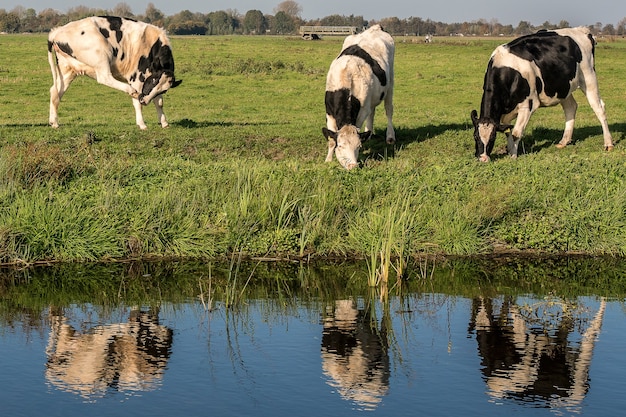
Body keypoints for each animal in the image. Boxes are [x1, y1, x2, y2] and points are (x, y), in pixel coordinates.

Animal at [48, 15, 180, 130]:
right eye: (153, 80)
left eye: (164, 90)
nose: (144, 101)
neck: (152, 45)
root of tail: (56, 31)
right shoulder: (136, 77)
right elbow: (138, 103)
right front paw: (142, 124)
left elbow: (159, 102)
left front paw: (164, 123)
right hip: (102, 54)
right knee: (104, 78)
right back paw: (131, 91)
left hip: (68, 69)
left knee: (55, 91)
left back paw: (54, 122)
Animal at [322, 24, 394, 169]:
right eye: (341, 146)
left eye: (358, 147)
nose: (352, 166)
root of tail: (375, 28)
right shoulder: (329, 112)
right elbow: (331, 139)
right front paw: (328, 160)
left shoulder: (361, 112)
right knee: (372, 112)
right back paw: (369, 134)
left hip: (390, 84)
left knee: (389, 110)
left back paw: (390, 137)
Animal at [470, 26, 612, 162]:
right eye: (475, 136)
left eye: (493, 137)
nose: (483, 158)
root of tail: (582, 30)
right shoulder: (506, 111)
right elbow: (508, 131)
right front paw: (510, 150)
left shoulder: (528, 105)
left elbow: (516, 132)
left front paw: (513, 156)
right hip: (562, 87)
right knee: (571, 107)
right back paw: (564, 141)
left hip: (589, 78)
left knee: (599, 108)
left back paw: (608, 143)